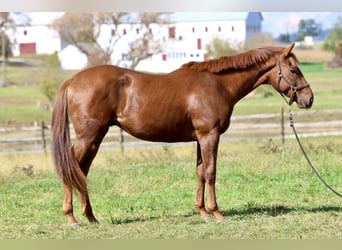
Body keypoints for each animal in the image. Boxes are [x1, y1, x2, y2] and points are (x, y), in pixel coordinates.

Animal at [50, 43, 312, 227]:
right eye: (294, 69)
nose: (308, 99)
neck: (217, 84)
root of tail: (73, 79)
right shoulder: (209, 136)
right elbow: (211, 172)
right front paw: (217, 213)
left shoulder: (200, 139)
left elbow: (200, 173)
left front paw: (203, 212)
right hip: (88, 137)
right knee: (70, 169)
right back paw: (72, 219)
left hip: (95, 139)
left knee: (81, 172)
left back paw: (91, 217)